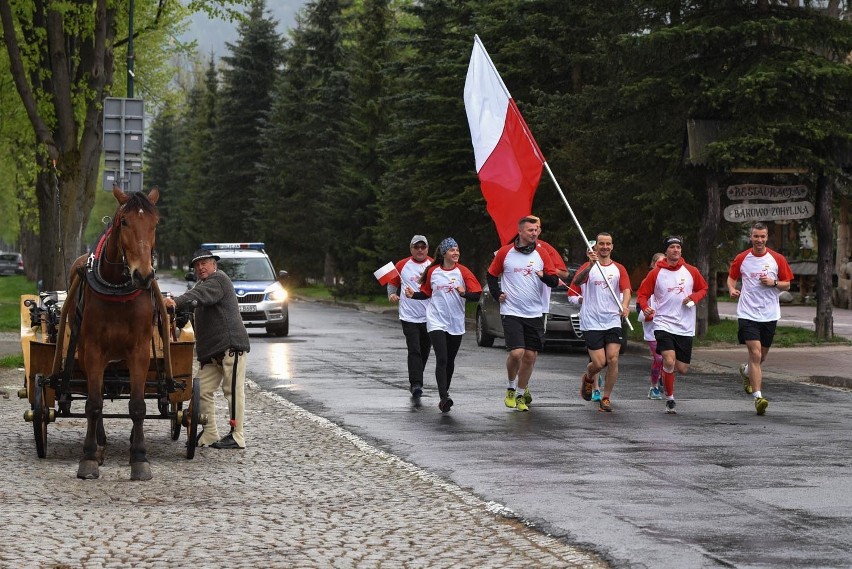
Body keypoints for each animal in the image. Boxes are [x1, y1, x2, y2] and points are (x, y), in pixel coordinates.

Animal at [71, 186, 161, 480]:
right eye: (124, 222)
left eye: (155, 224)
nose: (143, 274)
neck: (117, 289)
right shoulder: (93, 350)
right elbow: (93, 404)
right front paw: (89, 456)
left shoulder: (140, 351)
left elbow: (138, 405)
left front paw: (139, 457)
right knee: (95, 396)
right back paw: (99, 445)